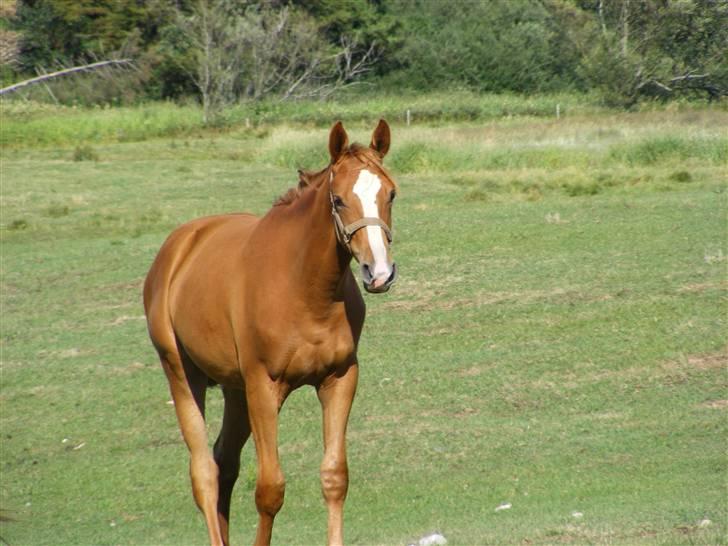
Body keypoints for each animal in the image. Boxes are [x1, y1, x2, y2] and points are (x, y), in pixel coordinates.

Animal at [142, 120, 398, 544]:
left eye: (390, 193)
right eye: (339, 200)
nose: (378, 273)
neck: (305, 288)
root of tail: (178, 246)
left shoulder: (339, 378)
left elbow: (335, 478)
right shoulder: (264, 386)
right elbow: (269, 489)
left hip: (235, 390)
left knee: (223, 463)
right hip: (183, 375)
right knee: (204, 473)